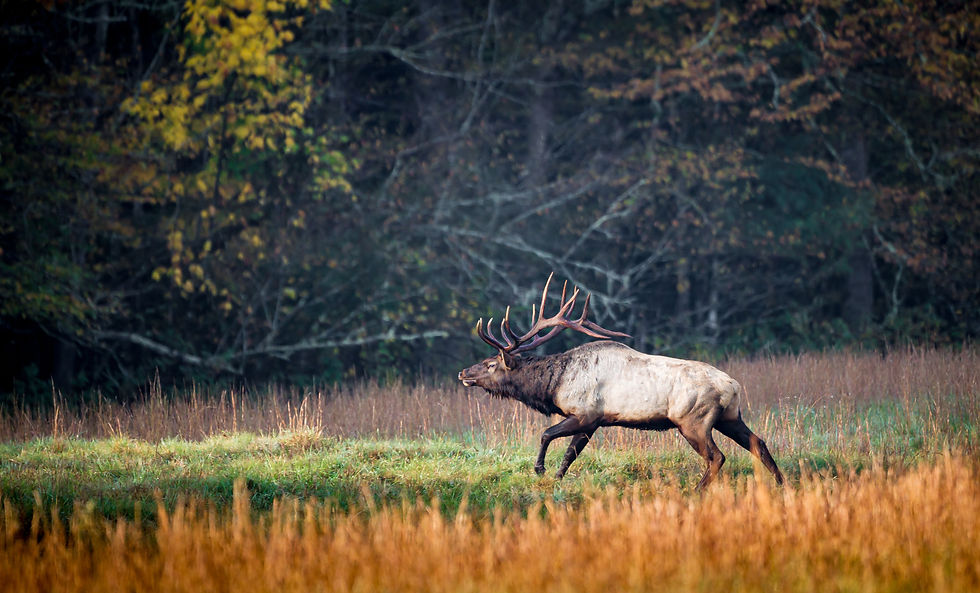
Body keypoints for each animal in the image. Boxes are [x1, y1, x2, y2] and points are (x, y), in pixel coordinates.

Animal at [458, 274, 784, 490]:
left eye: (490, 364)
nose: (463, 373)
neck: (554, 385)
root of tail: (733, 386)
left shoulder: (586, 413)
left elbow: (546, 434)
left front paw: (539, 469)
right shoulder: (593, 423)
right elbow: (570, 454)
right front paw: (556, 478)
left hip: (693, 420)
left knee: (717, 456)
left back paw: (697, 490)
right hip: (729, 417)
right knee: (758, 442)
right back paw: (782, 485)